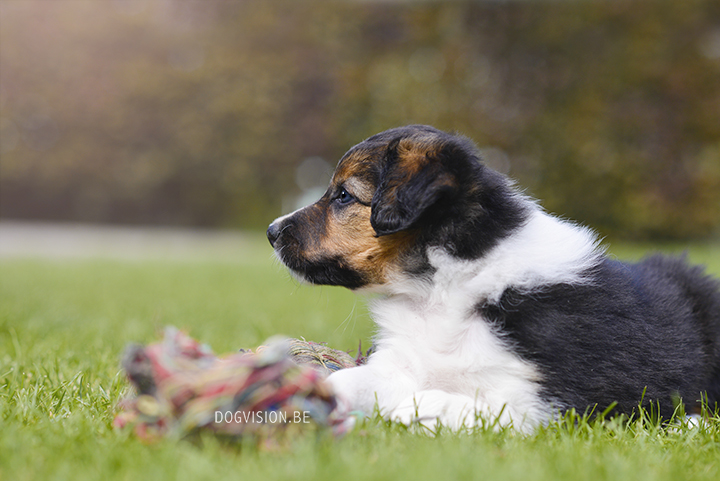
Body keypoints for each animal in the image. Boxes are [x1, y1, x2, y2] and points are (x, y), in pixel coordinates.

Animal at [266, 124, 720, 432]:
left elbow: (471, 405)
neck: (439, 290)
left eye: (343, 195)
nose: (271, 231)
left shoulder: (554, 401)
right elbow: (351, 378)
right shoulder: (403, 360)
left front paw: (415, 410)